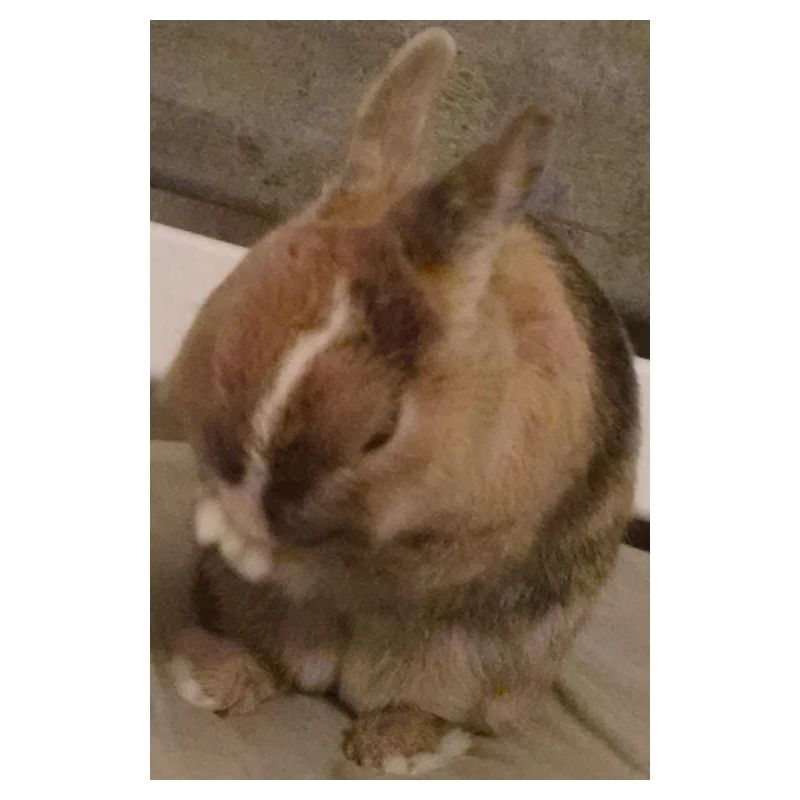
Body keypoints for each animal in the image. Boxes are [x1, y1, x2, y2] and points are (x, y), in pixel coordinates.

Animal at [161, 27, 639, 775]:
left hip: (481, 665)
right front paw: (221, 522)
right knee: (274, 663)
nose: (246, 502)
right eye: (230, 316)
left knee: (436, 707)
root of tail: (339, 672)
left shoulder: (451, 544)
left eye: (380, 431)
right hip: (244, 612)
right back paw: (212, 674)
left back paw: (395, 748)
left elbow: (345, 560)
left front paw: (245, 541)